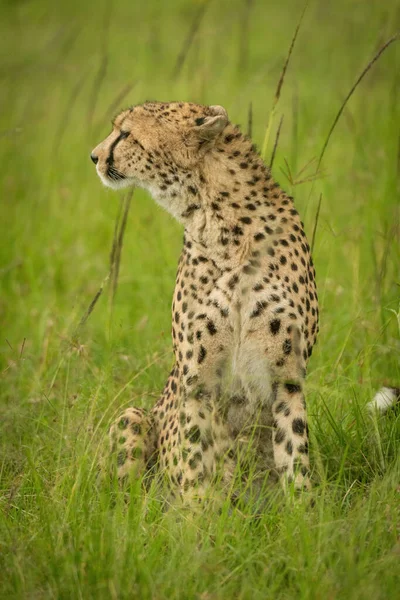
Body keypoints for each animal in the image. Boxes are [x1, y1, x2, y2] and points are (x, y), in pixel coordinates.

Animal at [90, 103, 318, 502]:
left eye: (126, 133)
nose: (94, 156)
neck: (223, 222)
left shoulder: (288, 378)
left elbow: (294, 449)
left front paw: (303, 511)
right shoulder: (198, 378)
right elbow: (197, 454)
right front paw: (197, 512)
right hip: (133, 416)